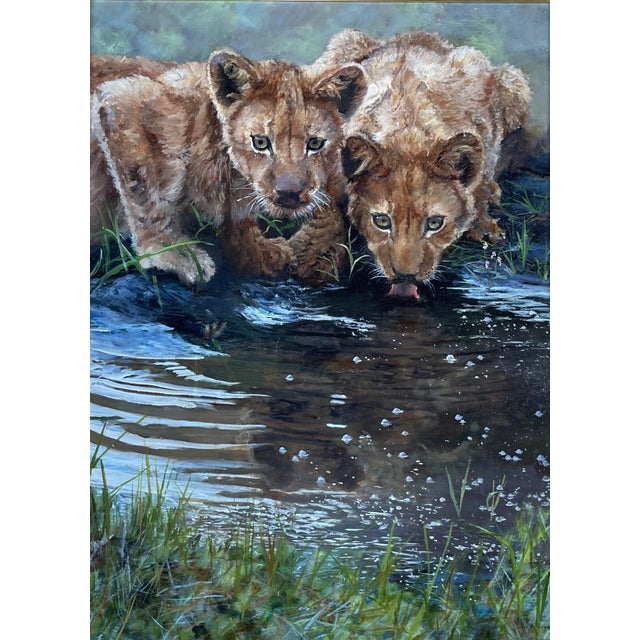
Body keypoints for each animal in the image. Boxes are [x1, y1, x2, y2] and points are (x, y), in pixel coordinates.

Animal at [90, 51, 367, 287]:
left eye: (315, 144)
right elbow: (145, 194)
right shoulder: (123, 99)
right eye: (260, 142)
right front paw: (172, 255)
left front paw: (263, 253)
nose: (289, 193)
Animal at [313, 30, 532, 300]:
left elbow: (483, 171)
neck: (408, 134)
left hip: (511, 82)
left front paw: (483, 221)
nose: (405, 277)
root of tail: (413, 35)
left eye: (435, 223)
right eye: (382, 221)